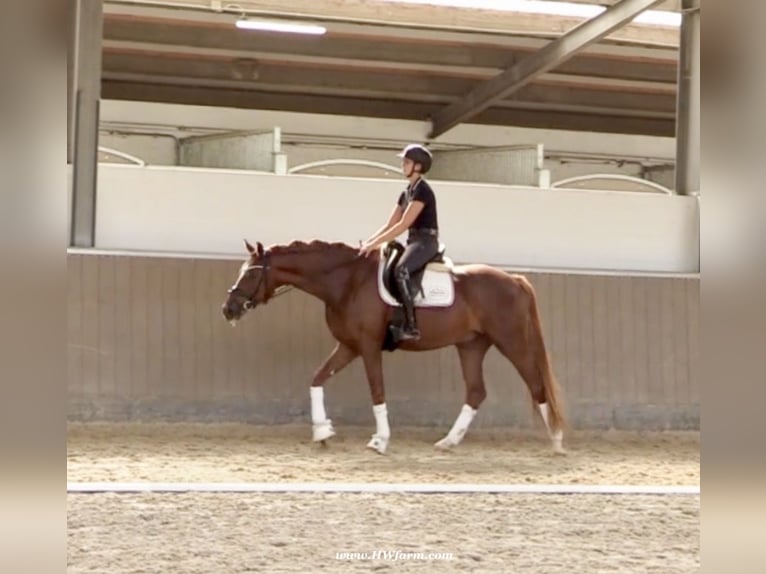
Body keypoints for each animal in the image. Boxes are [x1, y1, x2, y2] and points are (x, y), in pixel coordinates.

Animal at [219, 238, 568, 454]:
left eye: (250, 275)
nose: (228, 309)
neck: (347, 281)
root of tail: (514, 280)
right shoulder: (348, 346)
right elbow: (317, 379)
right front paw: (322, 432)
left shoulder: (368, 346)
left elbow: (377, 391)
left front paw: (380, 441)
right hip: (471, 346)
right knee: (476, 392)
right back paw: (448, 442)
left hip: (511, 341)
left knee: (536, 385)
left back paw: (557, 442)